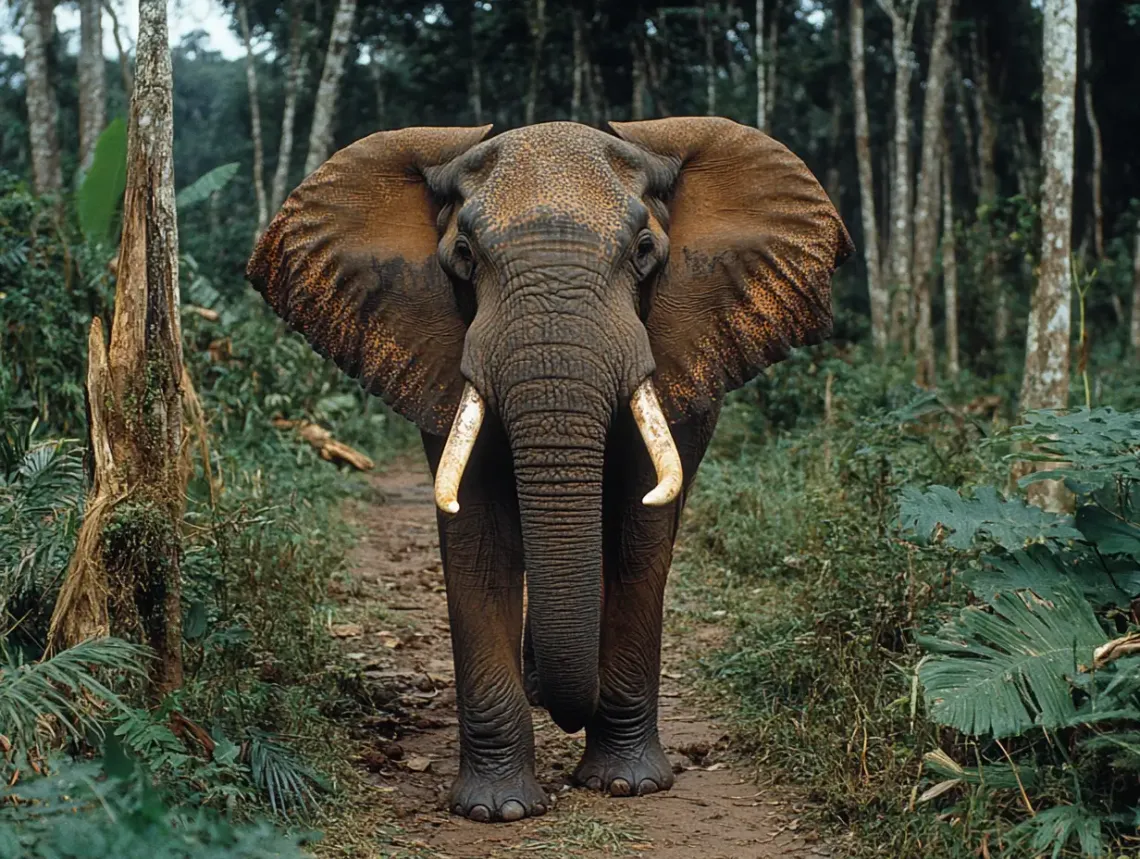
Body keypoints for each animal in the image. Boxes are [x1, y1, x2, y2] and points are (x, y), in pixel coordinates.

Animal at [251, 117, 857, 820]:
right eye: (465, 255)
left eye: (644, 251)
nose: (575, 711)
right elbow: (479, 536)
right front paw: (498, 810)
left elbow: (636, 537)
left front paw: (626, 785)